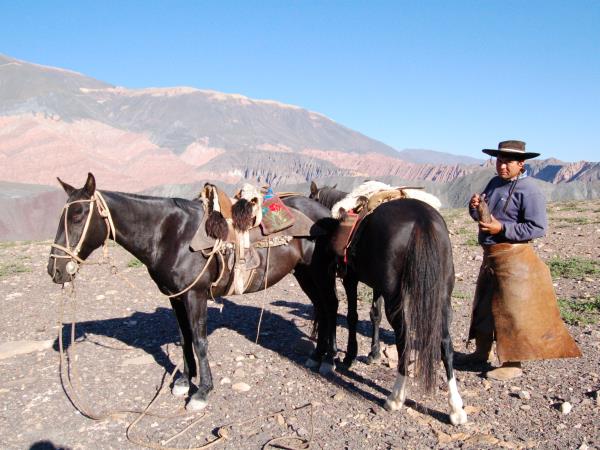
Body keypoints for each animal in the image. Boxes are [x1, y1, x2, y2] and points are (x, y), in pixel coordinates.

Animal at [47, 172, 338, 412]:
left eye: (78, 216)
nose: (55, 270)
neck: (169, 233)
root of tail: (326, 212)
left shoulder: (194, 295)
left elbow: (199, 341)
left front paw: (202, 391)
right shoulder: (176, 296)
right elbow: (184, 337)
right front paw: (185, 381)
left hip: (320, 274)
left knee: (331, 307)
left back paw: (329, 360)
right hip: (304, 274)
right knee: (322, 309)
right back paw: (317, 356)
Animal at [308, 181, 466, 424]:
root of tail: (423, 220)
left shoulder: (350, 278)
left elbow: (353, 315)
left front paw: (349, 356)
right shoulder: (377, 285)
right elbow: (375, 314)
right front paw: (373, 354)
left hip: (397, 298)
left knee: (404, 339)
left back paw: (395, 397)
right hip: (442, 296)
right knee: (446, 343)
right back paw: (456, 409)